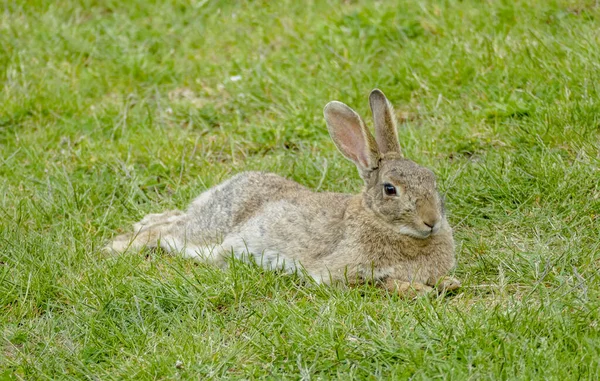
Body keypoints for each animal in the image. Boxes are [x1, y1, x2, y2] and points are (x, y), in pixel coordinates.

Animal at [106, 90, 460, 296]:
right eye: (390, 189)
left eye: (431, 178)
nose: (432, 222)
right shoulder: (342, 273)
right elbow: (383, 282)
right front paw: (420, 291)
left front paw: (448, 283)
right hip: (203, 234)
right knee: (163, 232)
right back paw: (117, 247)